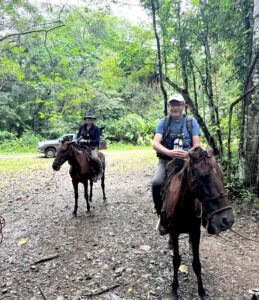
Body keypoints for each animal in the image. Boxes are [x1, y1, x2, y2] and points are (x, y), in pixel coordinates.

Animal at [166, 146, 237, 298]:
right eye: (204, 177)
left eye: (222, 176)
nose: (227, 220)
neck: (184, 207)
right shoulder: (174, 232)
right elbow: (176, 261)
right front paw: (174, 287)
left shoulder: (195, 232)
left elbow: (197, 264)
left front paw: (201, 291)